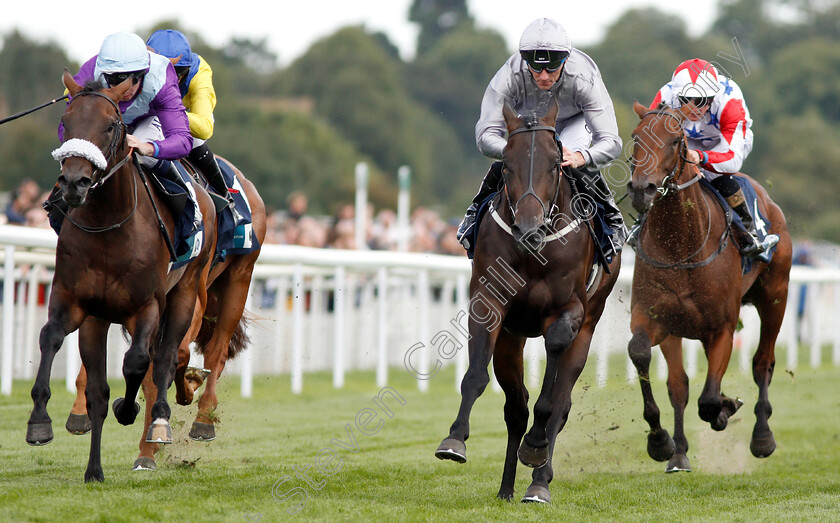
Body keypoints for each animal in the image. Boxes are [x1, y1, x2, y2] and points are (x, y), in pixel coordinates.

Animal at [26, 72, 218, 484]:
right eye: (65, 120)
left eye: (111, 125)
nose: (74, 183)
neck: (109, 229)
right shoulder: (76, 303)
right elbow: (53, 340)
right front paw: (41, 423)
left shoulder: (146, 307)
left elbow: (137, 362)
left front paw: (128, 410)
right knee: (101, 385)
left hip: (186, 291)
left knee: (165, 358)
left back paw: (159, 420)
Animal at [436, 102, 620, 504]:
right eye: (505, 164)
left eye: (554, 164)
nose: (528, 228)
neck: (535, 250)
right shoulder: (489, 302)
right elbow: (476, 377)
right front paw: (455, 440)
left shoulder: (569, 311)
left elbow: (550, 397)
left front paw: (536, 450)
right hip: (512, 337)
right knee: (516, 407)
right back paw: (506, 488)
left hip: (590, 324)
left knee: (560, 405)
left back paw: (539, 482)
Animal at [624, 102, 796, 474]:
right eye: (635, 137)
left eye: (675, 140)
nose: (642, 189)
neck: (680, 248)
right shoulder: (657, 319)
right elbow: (655, 366)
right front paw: (665, 444)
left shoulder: (722, 328)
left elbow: (708, 400)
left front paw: (724, 410)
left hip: (775, 296)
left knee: (763, 362)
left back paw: (762, 436)